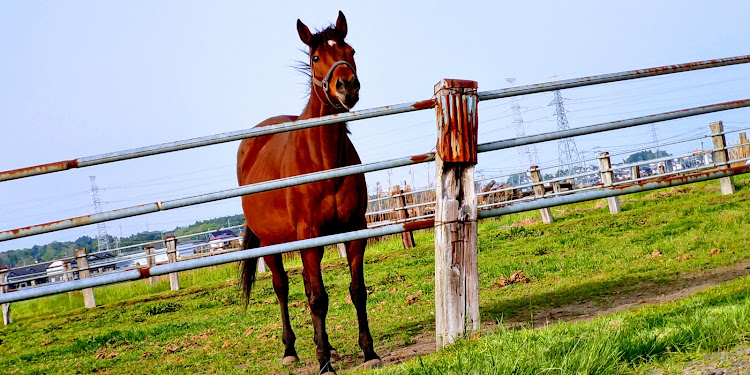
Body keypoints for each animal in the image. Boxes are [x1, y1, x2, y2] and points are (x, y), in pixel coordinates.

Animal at [238, 11, 384, 374]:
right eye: (316, 57)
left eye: (351, 50)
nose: (347, 86)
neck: (323, 161)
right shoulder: (310, 235)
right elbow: (318, 299)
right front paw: (323, 364)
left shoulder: (354, 229)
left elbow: (356, 290)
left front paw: (369, 352)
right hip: (273, 243)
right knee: (283, 288)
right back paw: (291, 349)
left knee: (305, 286)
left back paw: (327, 346)